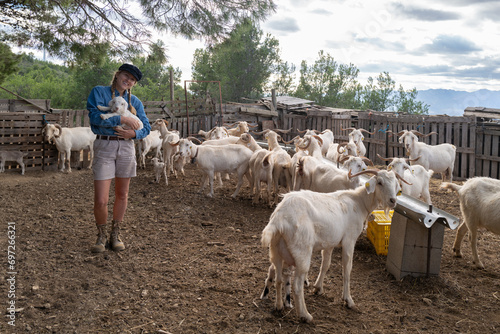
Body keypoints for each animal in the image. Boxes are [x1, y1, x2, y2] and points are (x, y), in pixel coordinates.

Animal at [262, 171, 406, 322]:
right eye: (379, 182)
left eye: (396, 184)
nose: (393, 201)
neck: (359, 203)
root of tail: (279, 218)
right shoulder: (349, 240)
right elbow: (347, 269)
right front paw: (348, 300)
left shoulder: (329, 243)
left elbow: (325, 265)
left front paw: (318, 288)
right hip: (301, 251)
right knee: (297, 285)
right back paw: (305, 315)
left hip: (276, 250)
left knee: (278, 278)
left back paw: (279, 306)